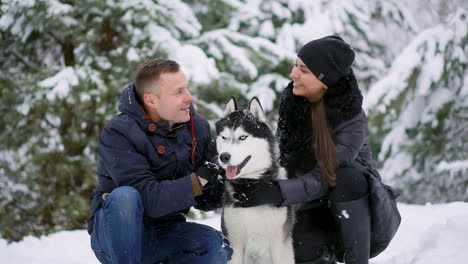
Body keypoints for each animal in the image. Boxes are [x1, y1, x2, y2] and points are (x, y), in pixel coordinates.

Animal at [215, 97, 294, 264]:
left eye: (243, 137)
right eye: (223, 137)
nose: (224, 157)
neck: (250, 185)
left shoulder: (278, 244)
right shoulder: (235, 245)